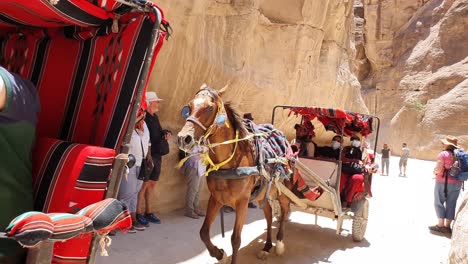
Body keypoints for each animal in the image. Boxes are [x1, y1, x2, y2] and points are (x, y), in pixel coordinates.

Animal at [177, 84, 294, 264]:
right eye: (188, 107)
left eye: (210, 108)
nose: (184, 138)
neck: (228, 164)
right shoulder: (216, 198)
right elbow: (203, 232)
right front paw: (220, 254)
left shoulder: (242, 201)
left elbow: (235, 239)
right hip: (262, 194)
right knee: (268, 214)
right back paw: (266, 247)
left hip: (283, 189)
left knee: (284, 210)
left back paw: (279, 243)